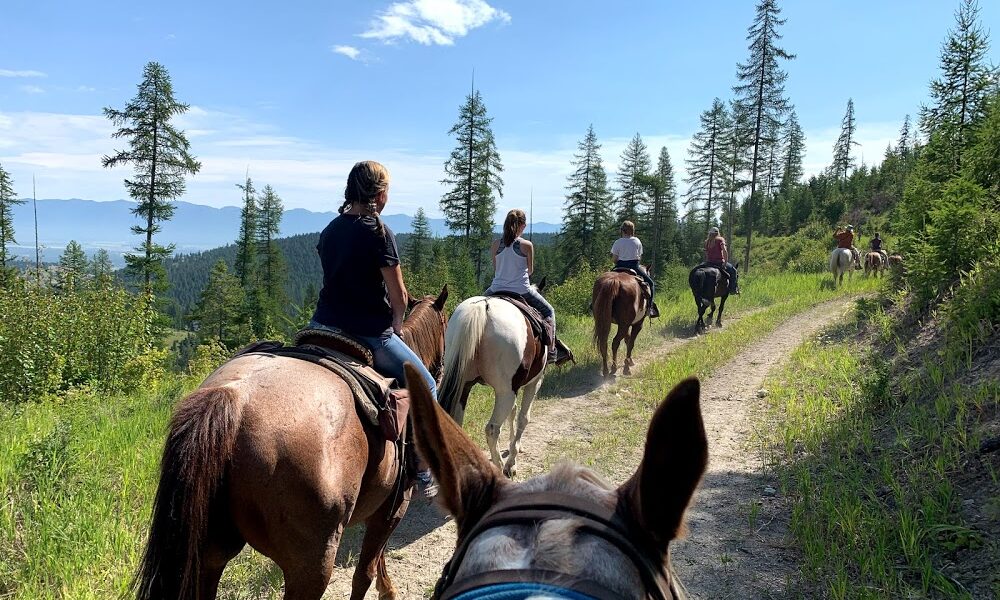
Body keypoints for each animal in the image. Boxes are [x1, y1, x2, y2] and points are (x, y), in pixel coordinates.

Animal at [135, 286, 448, 600]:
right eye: (446, 324)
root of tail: (233, 398)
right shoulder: (393, 510)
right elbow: (364, 574)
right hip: (311, 564)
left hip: (209, 552)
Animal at [438, 280, 548, 478]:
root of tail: (483, 307)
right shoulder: (534, 383)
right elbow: (523, 418)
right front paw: (512, 462)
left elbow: (513, 412)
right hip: (505, 391)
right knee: (492, 429)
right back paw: (499, 467)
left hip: (464, 385)